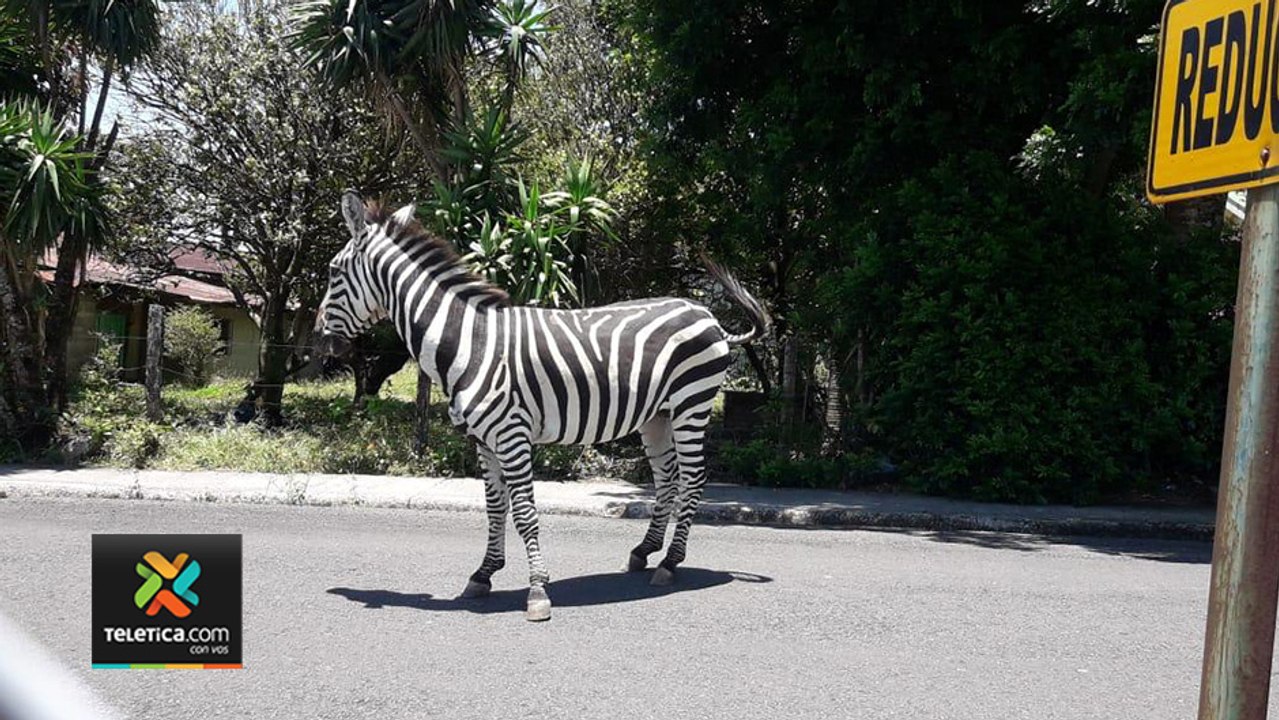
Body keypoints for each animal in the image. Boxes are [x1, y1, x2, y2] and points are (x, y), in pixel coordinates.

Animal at [314, 191, 770, 621]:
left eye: (334, 272)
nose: (322, 342)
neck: (468, 342)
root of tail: (709, 318)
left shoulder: (511, 435)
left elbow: (524, 513)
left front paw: (536, 591)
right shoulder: (483, 440)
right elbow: (495, 509)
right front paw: (484, 574)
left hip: (691, 403)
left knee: (693, 478)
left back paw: (671, 563)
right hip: (656, 416)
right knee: (668, 478)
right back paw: (644, 552)